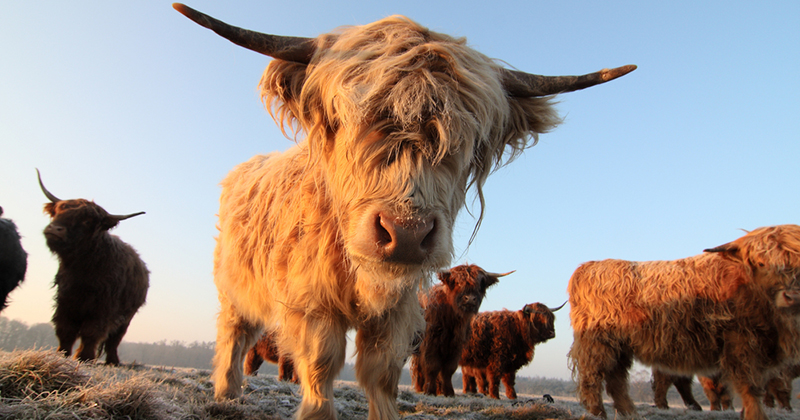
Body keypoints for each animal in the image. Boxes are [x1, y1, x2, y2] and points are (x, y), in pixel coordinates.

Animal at [38, 169, 150, 366]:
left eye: (87, 221)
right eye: (58, 210)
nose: (55, 229)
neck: (83, 268)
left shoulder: (103, 306)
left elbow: (92, 331)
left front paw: (84, 357)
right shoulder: (65, 300)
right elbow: (65, 329)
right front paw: (61, 354)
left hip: (127, 316)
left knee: (115, 339)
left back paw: (113, 361)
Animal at [412, 264, 506, 396]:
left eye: (481, 284)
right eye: (457, 282)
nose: (470, 299)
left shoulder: (456, 345)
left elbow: (449, 369)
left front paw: (449, 392)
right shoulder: (430, 343)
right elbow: (432, 366)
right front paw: (430, 391)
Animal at [564, 225, 800, 420]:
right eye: (761, 262)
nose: (793, 296)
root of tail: (587, 267)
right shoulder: (742, 344)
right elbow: (750, 387)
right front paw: (756, 415)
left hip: (620, 347)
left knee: (617, 379)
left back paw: (629, 412)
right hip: (598, 344)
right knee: (593, 376)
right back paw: (598, 412)